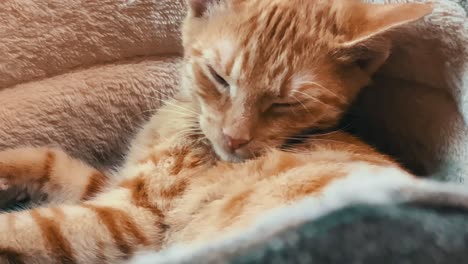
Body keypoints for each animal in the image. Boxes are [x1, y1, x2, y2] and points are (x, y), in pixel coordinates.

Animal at [0, 1, 432, 262]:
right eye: (219, 77)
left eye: (286, 104)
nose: (234, 138)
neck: (185, 120)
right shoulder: (111, 184)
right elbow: (50, 160)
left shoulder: (131, 221)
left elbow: (33, 227)